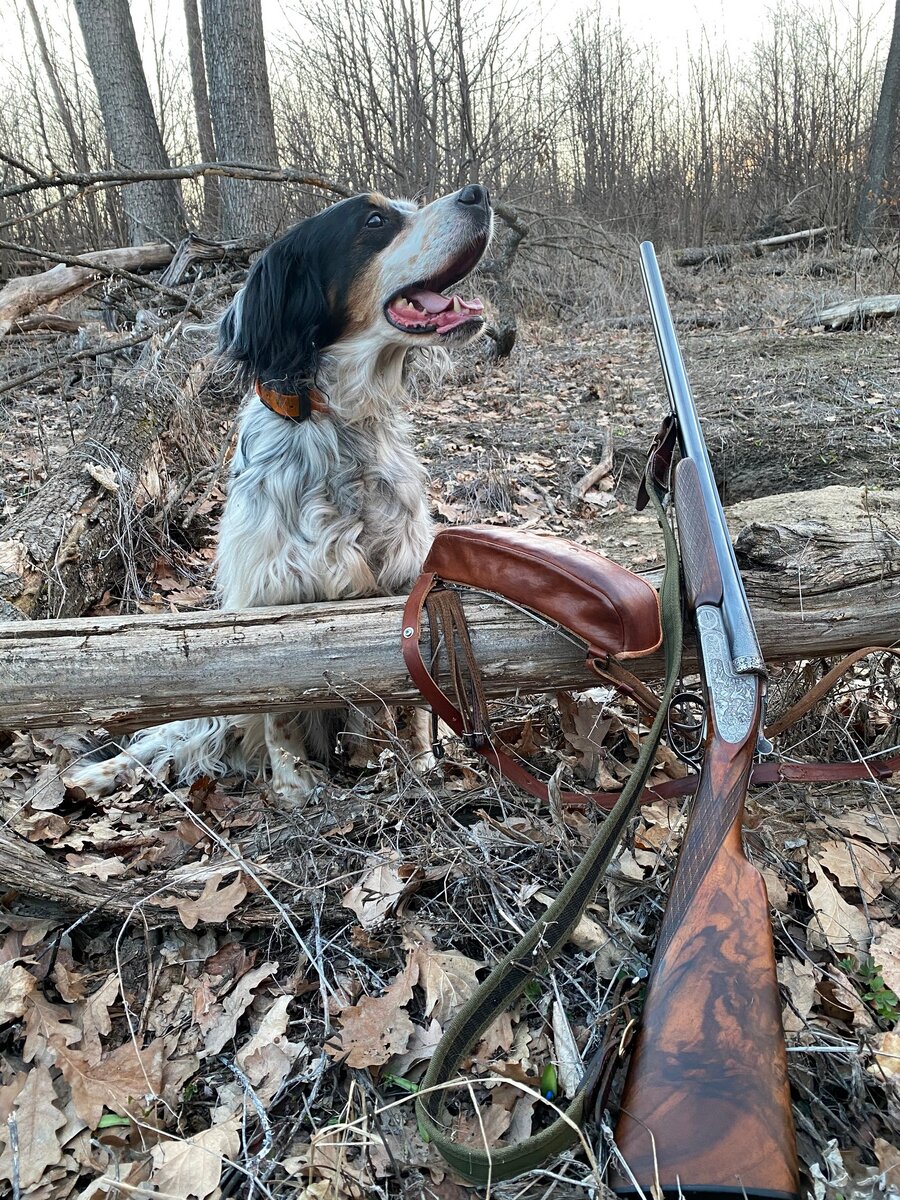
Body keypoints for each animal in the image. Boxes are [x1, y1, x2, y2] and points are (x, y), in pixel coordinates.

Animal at [69, 187, 494, 801]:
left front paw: (421, 769)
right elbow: (280, 711)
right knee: (171, 740)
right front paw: (295, 787)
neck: (341, 426)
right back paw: (96, 776)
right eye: (374, 220)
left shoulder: (403, 584)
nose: (478, 194)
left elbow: (415, 703)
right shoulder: (268, 599)